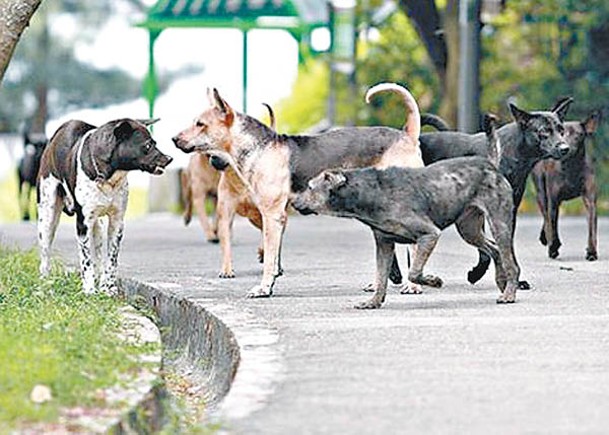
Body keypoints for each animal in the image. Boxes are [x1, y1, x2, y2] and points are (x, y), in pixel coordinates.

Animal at [37, 119, 172, 294]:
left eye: (154, 143)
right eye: (148, 145)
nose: (169, 159)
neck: (109, 179)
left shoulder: (117, 222)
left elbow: (111, 260)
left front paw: (110, 288)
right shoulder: (83, 224)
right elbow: (86, 261)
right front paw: (89, 290)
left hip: (98, 227)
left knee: (100, 257)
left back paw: (101, 283)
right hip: (47, 218)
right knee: (45, 254)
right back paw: (44, 283)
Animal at [173, 83, 426, 298]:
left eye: (200, 124)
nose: (174, 138)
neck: (259, 148)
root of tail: (407, 135)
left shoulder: (272, 216)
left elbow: (269, 259)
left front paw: (264, 288)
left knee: (413, 247)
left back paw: (411, 285)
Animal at [292, 114, 520, 308]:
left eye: (310, 187)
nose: (293, 203)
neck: (369, 192)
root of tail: (489, 163)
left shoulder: (429, 234)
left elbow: (413, 272)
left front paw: (433, 281)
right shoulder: (384, 244)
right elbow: (381, 276)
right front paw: (373, 302)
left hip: (499, 224)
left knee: (510, 261)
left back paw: (509, 293)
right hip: (469, 228)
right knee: (494, 250)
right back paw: (502, 283)